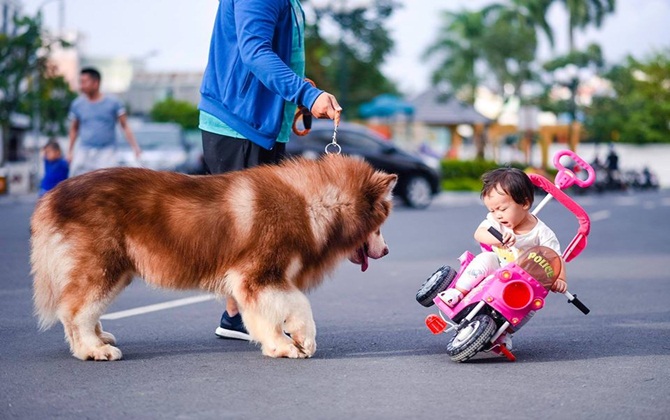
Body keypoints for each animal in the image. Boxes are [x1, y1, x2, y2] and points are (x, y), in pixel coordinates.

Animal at [31, 155, 396, 360]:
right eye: (381, 225)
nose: (387, 251)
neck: (313, 205)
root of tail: (50, 195)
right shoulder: (258, 275)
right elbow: (297, 305)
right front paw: (294, 342)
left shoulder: (262, 280)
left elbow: (277, 312)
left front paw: (283, 342)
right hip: (103, 266)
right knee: (75, 310)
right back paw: (92, 350)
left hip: (117, 270)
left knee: (83, 308)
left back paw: (98, 337)